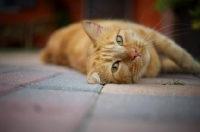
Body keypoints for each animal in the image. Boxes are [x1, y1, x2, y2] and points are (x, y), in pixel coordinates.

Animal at [39, 20, 200, 84]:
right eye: (115, 66)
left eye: (119, 40)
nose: (134, 53)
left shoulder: (153, 35)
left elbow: (180, 56)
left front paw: (195, 67)